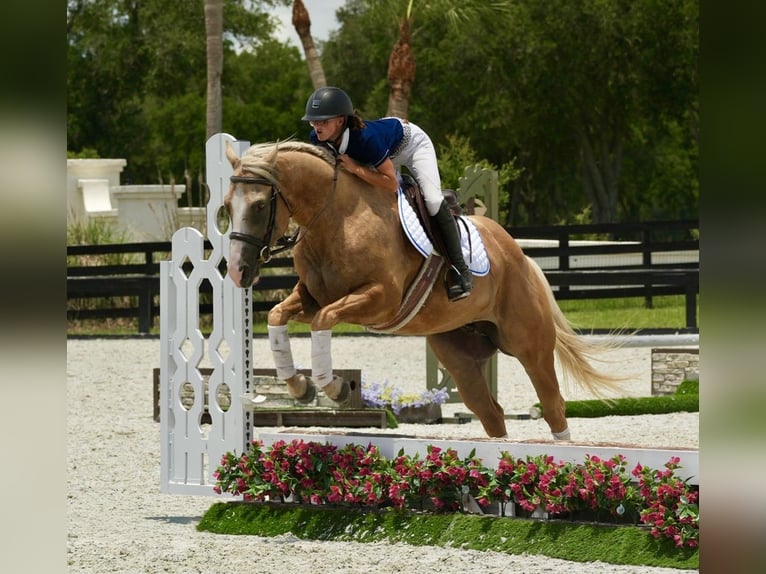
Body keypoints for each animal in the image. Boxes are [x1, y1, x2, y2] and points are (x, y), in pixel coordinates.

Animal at [223, 139, 625, 440]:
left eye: (258, 205)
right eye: (226, 206)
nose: (239, 272)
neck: (334, 218)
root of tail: (521, 258)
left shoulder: (378, 300)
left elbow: (323, 320)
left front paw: (333, 387)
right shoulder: (312, 297)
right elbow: (279, 315)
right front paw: (298, 387)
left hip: (528, 345)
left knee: (553, 405)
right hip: (458, 354)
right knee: (489, 411)